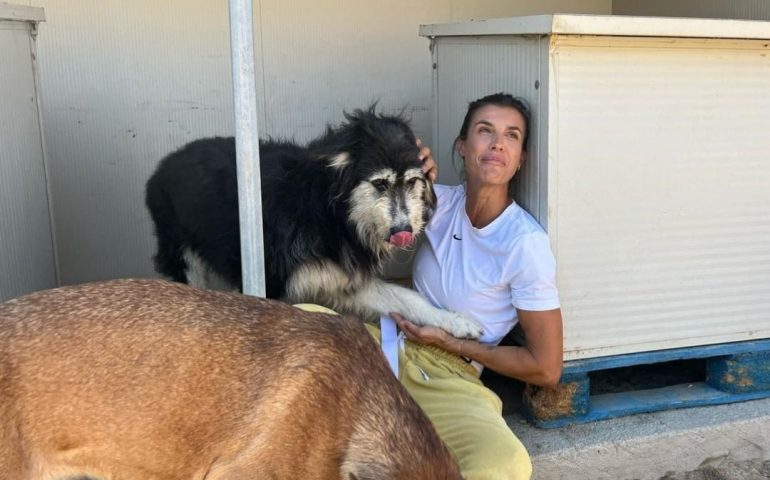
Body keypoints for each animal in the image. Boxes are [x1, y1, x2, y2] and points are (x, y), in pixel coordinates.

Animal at [145, 106, 480, 338]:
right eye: (380, 184)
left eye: (411, 182)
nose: (403, 232)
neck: (332, 214)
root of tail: (166, 162)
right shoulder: (272, 282)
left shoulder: (347, 280)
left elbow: (410, 299)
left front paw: (454, 320)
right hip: (183, 259)